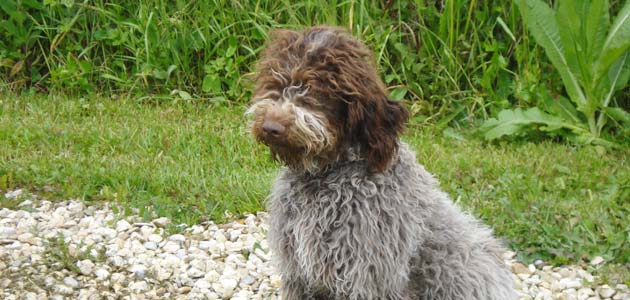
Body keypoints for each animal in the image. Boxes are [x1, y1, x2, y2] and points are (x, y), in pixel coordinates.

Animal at [247, 26, 520, 300]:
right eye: (275, 81)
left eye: (316, 89)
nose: (271, 127)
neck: (323, 179)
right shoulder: (298, 273)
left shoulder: (367, 279)